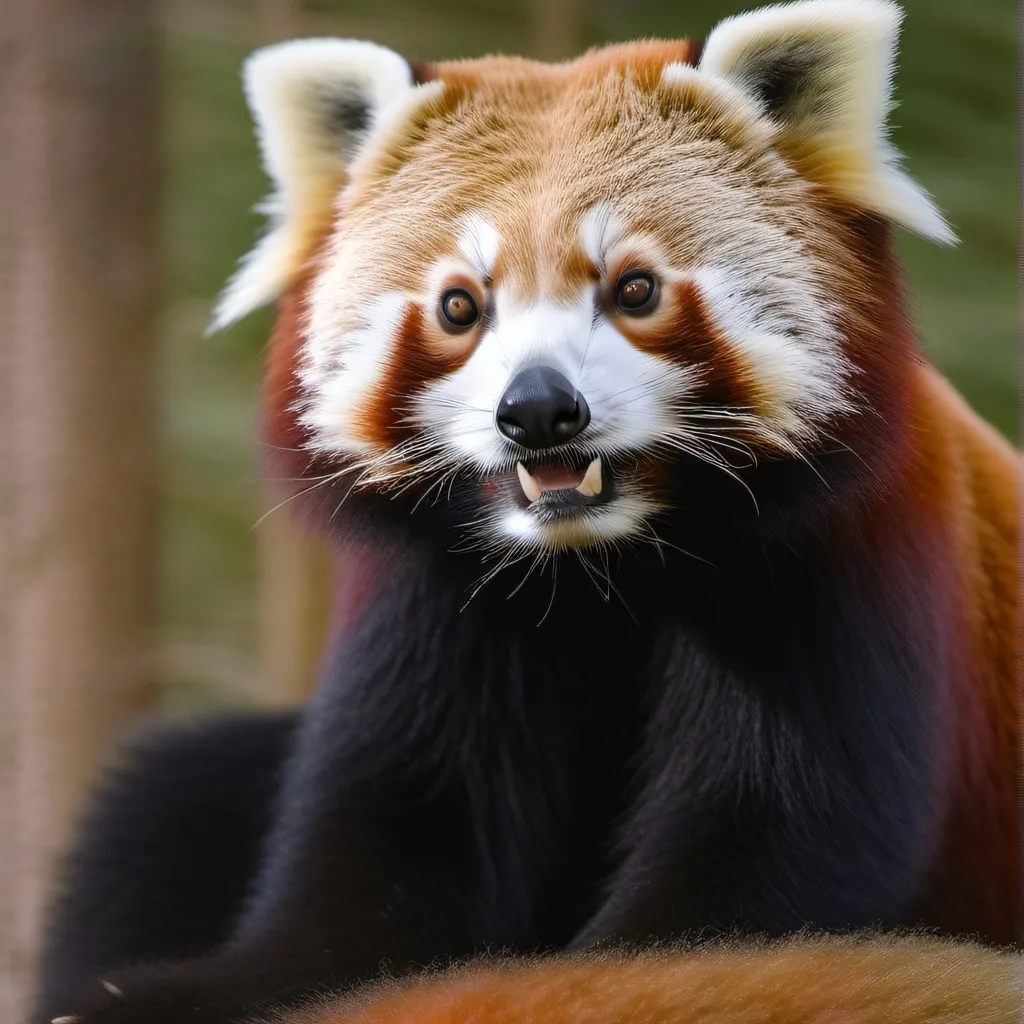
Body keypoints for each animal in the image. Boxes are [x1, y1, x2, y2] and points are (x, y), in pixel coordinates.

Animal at [36, 1, 1021, 1022]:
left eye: (634, 288)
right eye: (460, 307)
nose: (540, 410)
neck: (600, 571)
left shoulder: (830, 567)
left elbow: (755, 869)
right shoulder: (444, 605)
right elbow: (389, 859)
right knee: (164, 794)